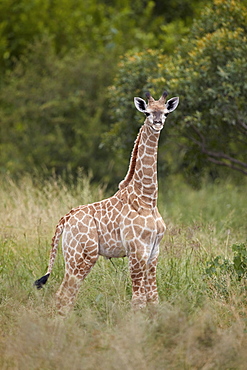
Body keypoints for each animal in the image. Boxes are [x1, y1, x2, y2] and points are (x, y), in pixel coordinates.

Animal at [33, 91, 178, 314]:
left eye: (165, 112)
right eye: (147, 112)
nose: (157, 122)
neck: (147, 198)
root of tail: (64, 220)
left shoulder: (154, 251)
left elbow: (153, 299)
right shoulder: (136, 250)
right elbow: (138, 300)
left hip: (75, 256)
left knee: (67, 295)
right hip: (82, 254)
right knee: (64, 294)